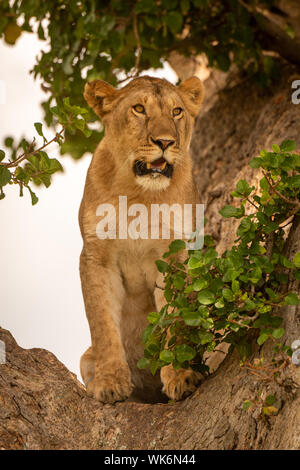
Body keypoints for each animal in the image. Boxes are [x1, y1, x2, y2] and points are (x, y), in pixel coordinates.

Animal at [79, 75, 204, 402]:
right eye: (138, 109)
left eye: (176, 111)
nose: (165, 142)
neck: (139, 194)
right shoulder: (96, 256)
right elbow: (102, 323)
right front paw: (109, 382)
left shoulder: (174, 254)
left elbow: (175, 318)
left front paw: (181, 377)